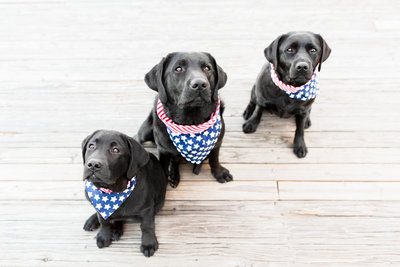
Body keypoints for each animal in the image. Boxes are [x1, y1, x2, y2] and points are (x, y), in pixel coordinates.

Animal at [81, 130, 167, 258]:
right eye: (91, 146)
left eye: (116, 150)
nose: (93, 164)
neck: (113, 191)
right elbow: (103, 220)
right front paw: (103, 236)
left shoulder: (147, 210)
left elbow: (147, 226)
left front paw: (148, 244)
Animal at [138, 51, 233, 187]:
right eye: (178, 69)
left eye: (207, 68)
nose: (199, 84)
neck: (191, 123)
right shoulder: (163, 150)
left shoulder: (217, 142)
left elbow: (214, 159)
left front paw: (219, 173)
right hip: (144, 132)